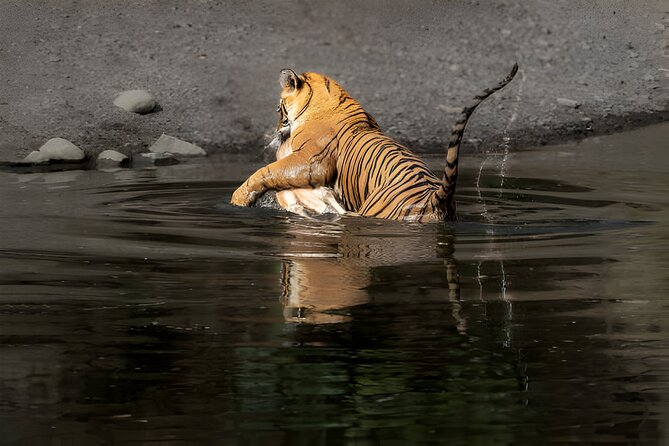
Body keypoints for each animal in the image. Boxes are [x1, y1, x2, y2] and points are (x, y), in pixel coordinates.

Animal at [231, 64, 518, 222]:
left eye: (278, 107)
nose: (277, 127)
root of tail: (437, 197)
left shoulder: (311, 163)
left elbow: (266, 172)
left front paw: (238, 200)